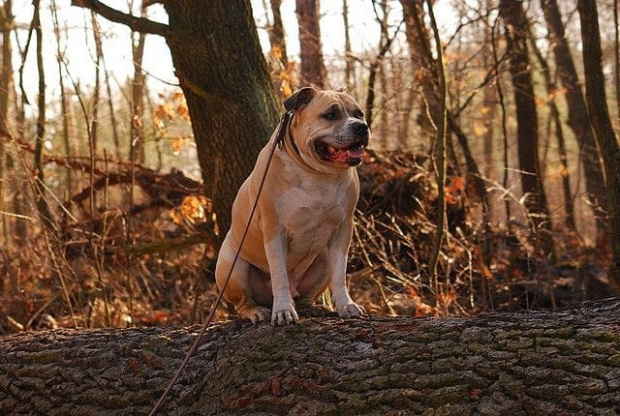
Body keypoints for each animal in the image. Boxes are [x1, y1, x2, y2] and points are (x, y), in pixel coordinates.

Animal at [214, 86, 368, 324]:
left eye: (359, 114)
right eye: (331, 115)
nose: (361, 126)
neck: (317, 173)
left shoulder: (343, 229)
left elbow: (339, 273)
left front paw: (346, 305)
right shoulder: (274, 230)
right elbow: (279, 275)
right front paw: (283, 310)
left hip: (323, 258)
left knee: (307, 295)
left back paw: (314, 308)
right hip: (233, 266)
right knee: (243, 302)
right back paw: (256, 311)